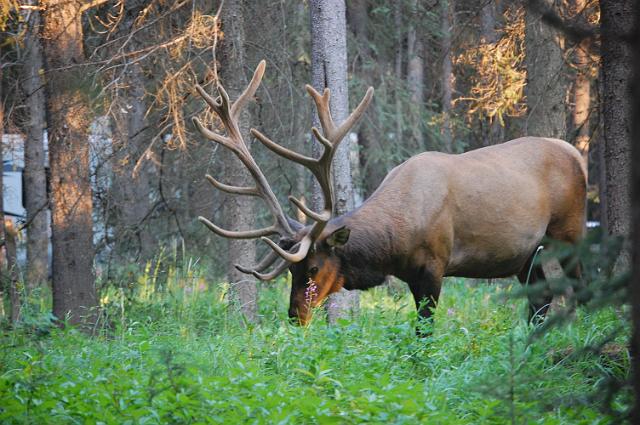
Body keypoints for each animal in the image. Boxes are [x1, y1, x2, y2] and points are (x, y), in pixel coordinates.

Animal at [193, 61, 587, 328]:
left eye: (314, 267)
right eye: (291, 270)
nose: (294, 317)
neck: (394, 243)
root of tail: (575, 153)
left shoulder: (435, 265)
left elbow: (424, 330)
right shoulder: (410, 274)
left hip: (569, 231)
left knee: (580, 285)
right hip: (526, 254)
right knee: (541, 298)